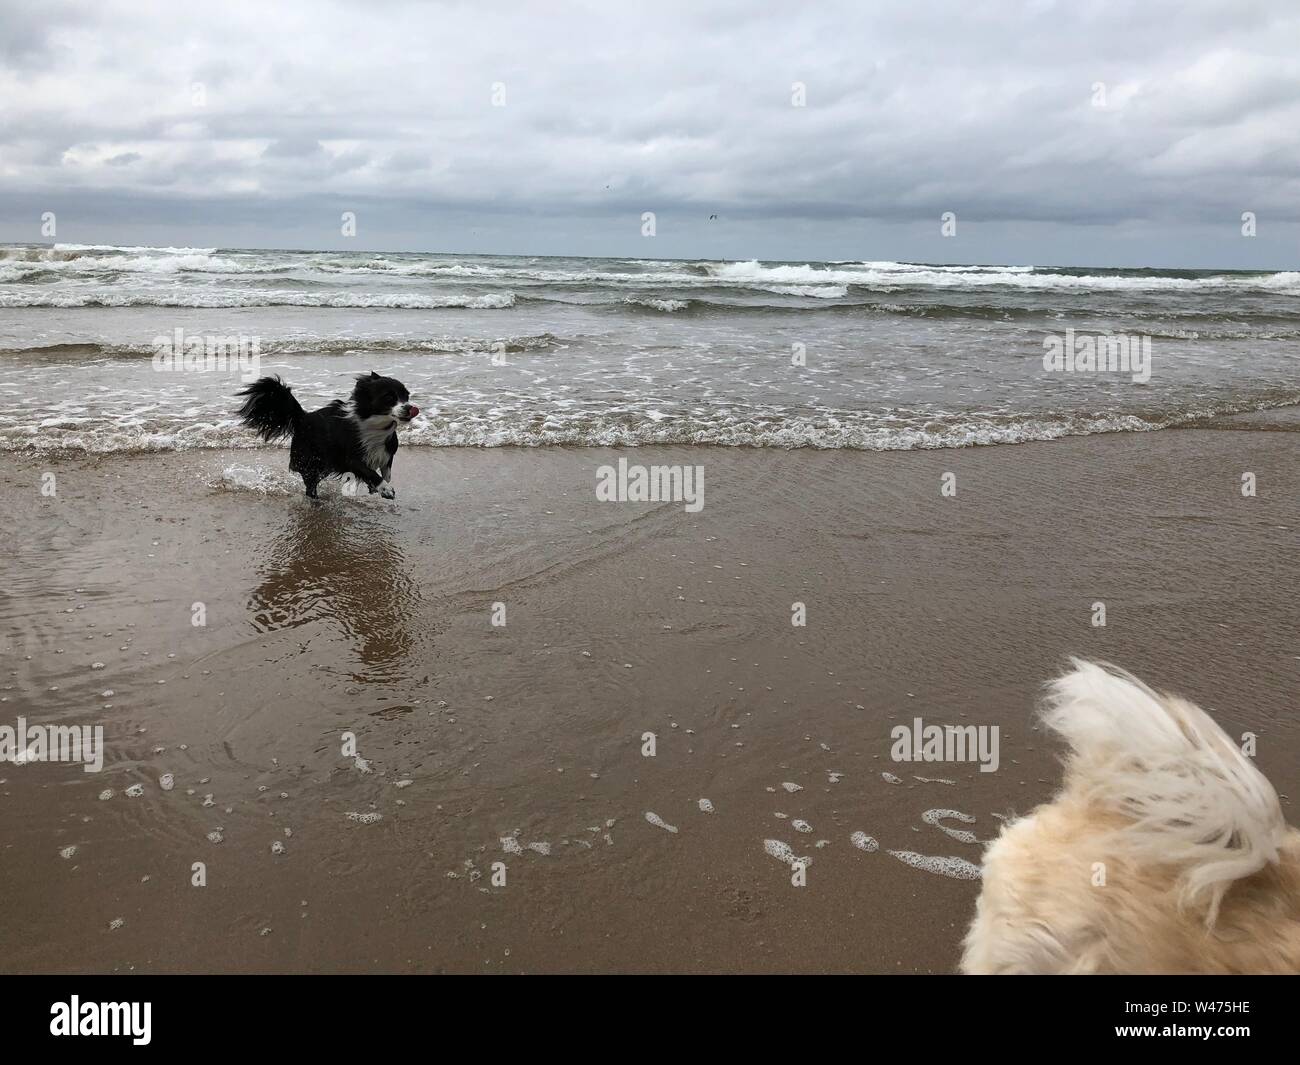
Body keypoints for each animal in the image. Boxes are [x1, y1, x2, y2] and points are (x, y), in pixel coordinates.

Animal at [233, 374, 416, 499]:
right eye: (389, 397)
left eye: (406, 396)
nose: (410, 408)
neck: (375, 426)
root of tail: (303, 417)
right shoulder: (349, 458)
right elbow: (370, 472)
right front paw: (385, 489)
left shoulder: (387, 450)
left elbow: (386, 470)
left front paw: (377, 486)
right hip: (310, 462)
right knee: (310, 486)